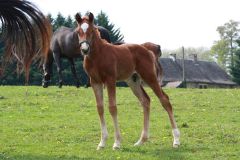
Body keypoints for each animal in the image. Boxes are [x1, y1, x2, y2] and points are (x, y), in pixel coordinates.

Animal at [75, 12, 180, 150]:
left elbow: (112, 107)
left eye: (91, 31)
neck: (98, 56)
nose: (84, 49)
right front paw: (102, 143)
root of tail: (147, 50)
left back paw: (176, 140)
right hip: (133, 81)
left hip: (149, 77)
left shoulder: (110, 80)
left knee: (164, 100)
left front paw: (117, 143)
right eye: (78, 32)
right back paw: (141, 141)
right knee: (145, 101)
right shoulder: (95, 82)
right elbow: (100, 108)